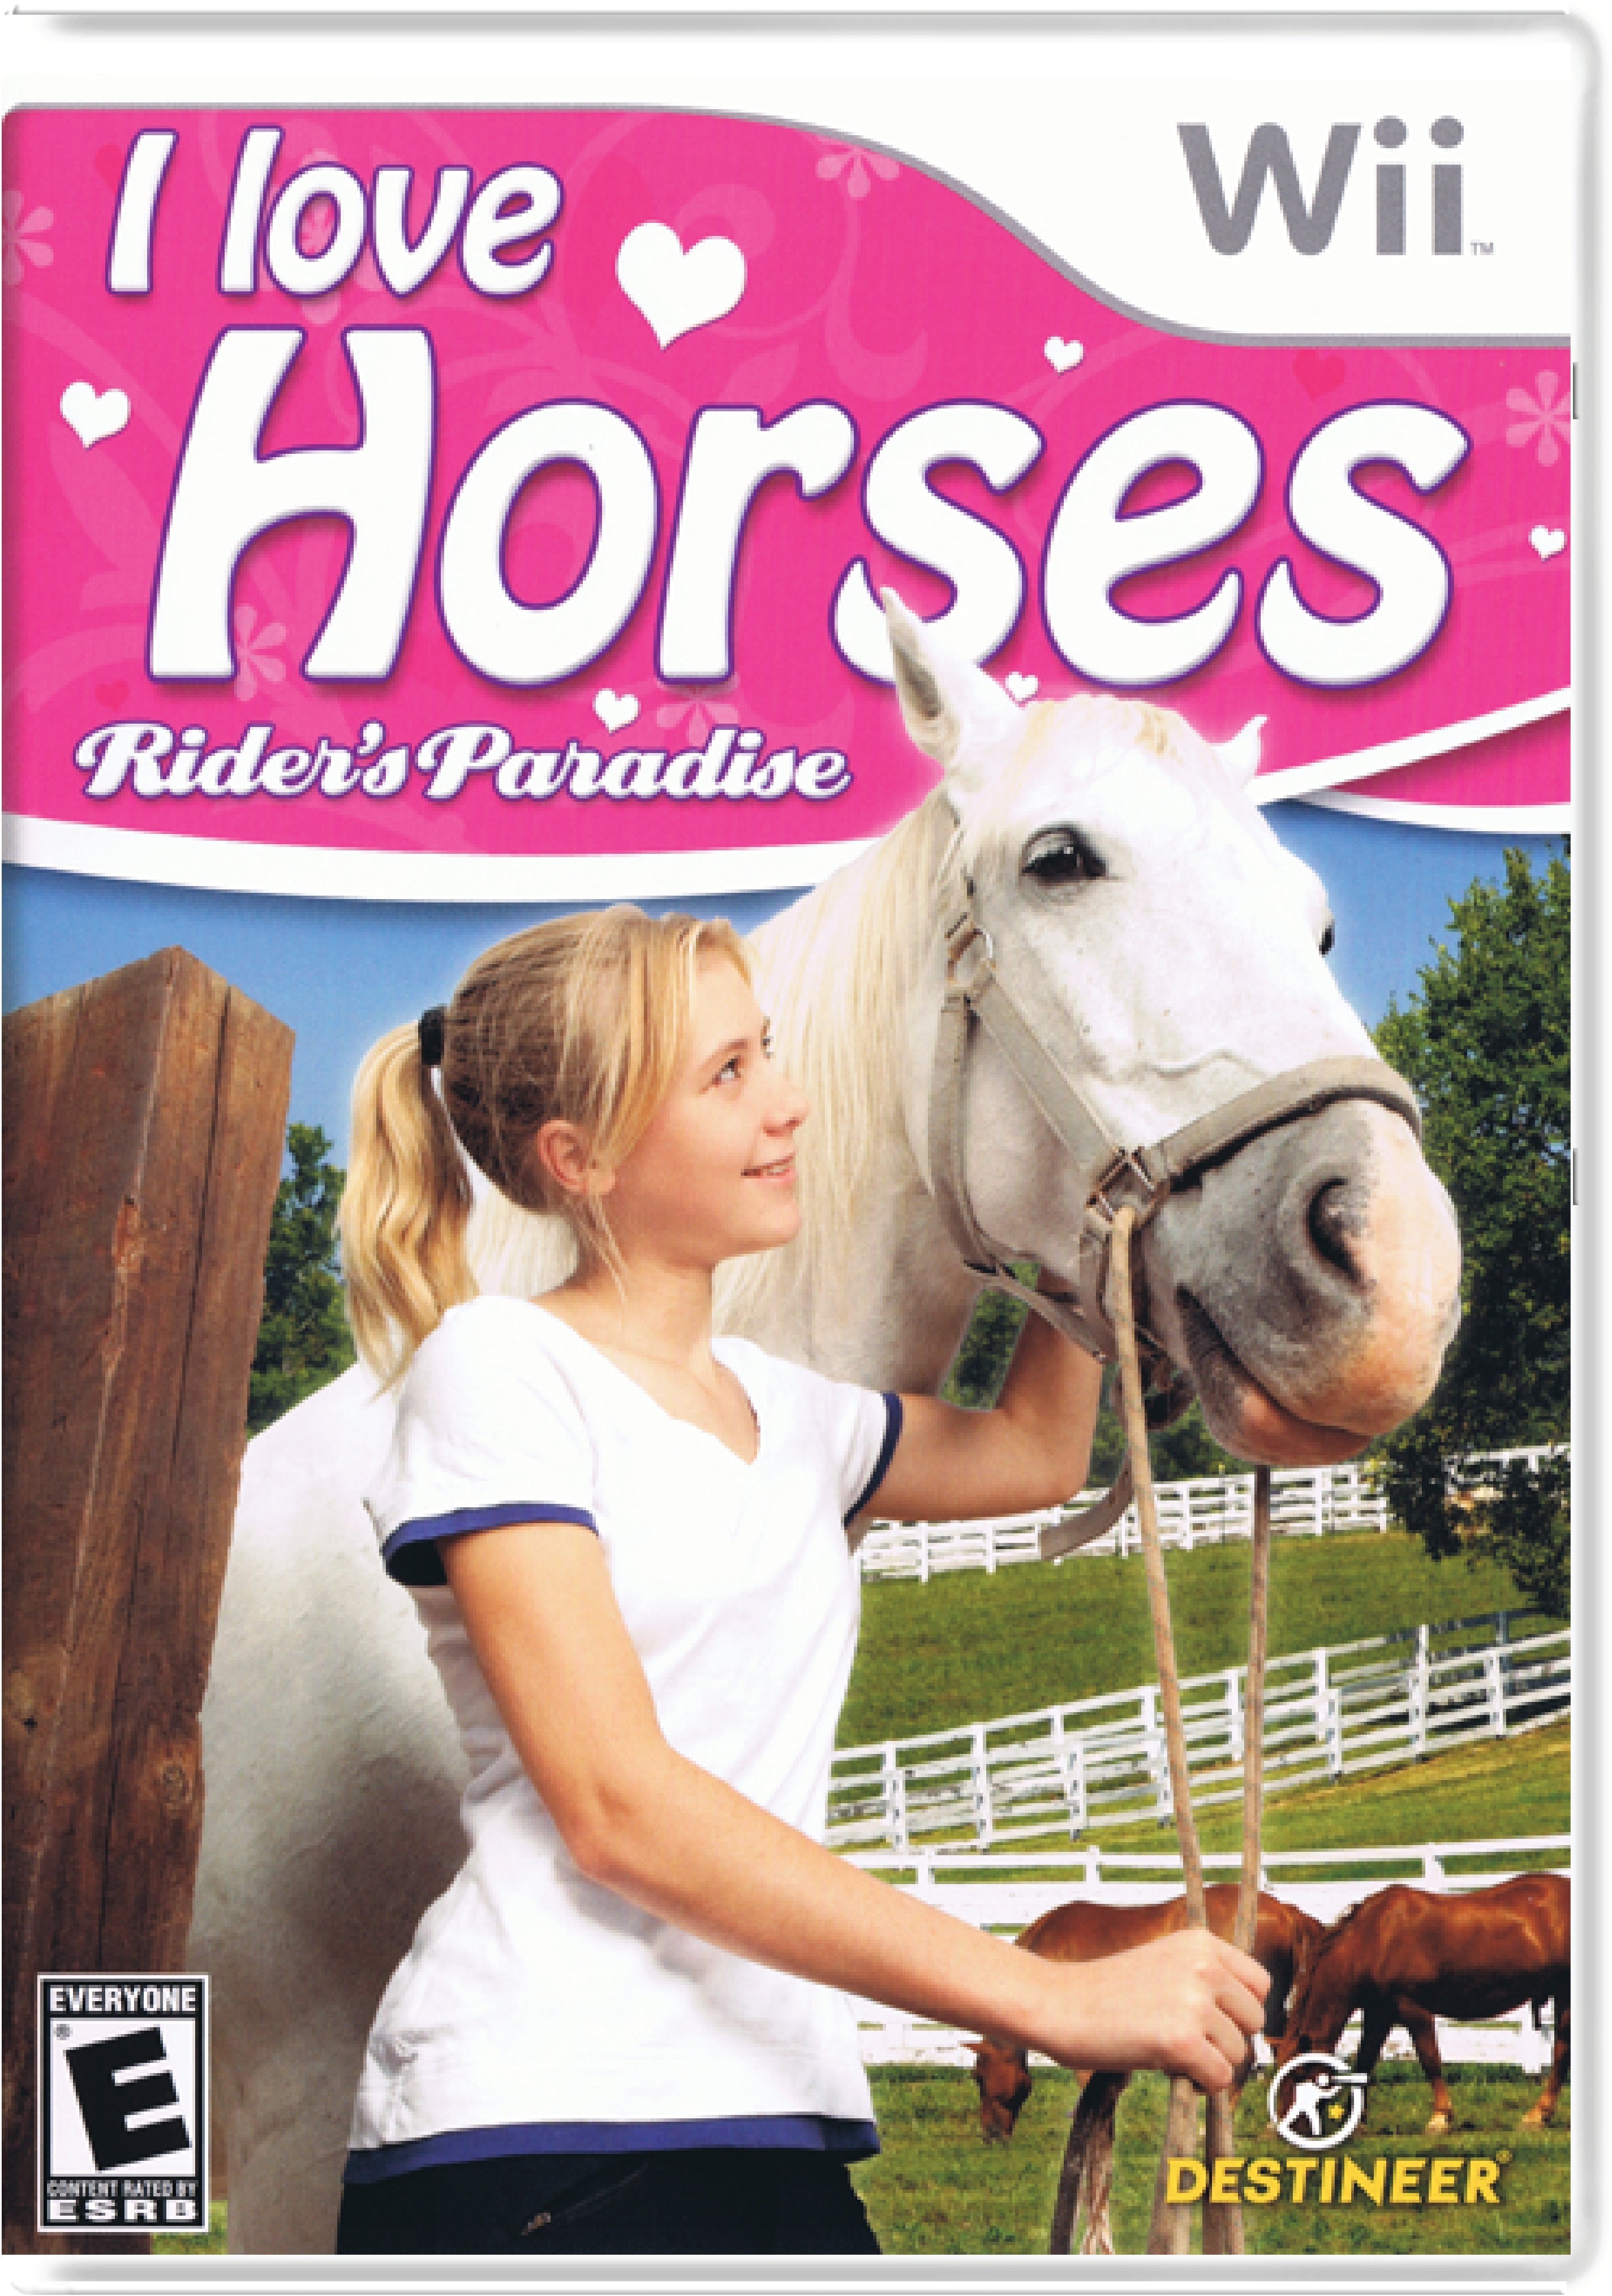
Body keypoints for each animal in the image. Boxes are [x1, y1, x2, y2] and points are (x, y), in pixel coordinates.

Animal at [1274, 1873, 1570, 2134]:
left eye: (1297, 2076)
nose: (1280, 2132)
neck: (1374, 1938)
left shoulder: (1412, 2008)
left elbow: (1430, 2059)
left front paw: (1440, 2118)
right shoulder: (1379, 2012)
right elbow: (1365, 2062)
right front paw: (1356, 2122)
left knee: (1560, 2053)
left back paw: (1538, 2115)